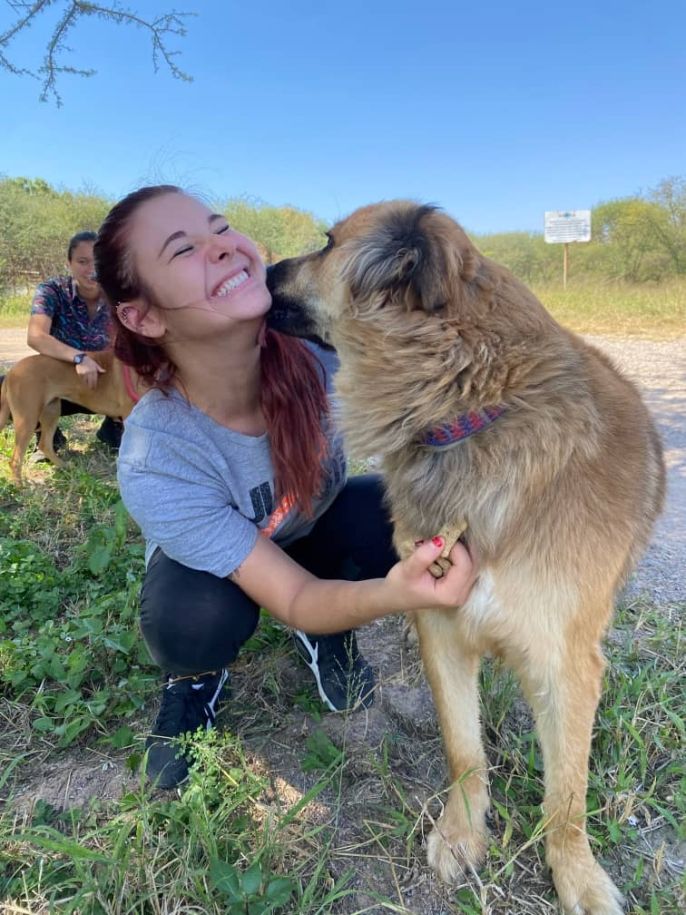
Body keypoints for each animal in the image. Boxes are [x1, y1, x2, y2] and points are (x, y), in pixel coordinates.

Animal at [0, 348, 140, 486]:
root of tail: (11, 372)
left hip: (52, 411)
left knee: (45, 444)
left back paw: (64, 466)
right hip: (28, 419)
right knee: (15, 460)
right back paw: (20, 486)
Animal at [268, 202, 668, 915]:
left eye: (327, 244)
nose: (260, 272)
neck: (470, 408)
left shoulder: (565, 661)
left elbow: (567, 794)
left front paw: (575, 872)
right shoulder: (441, 620)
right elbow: (462, 748)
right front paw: (462, 832)